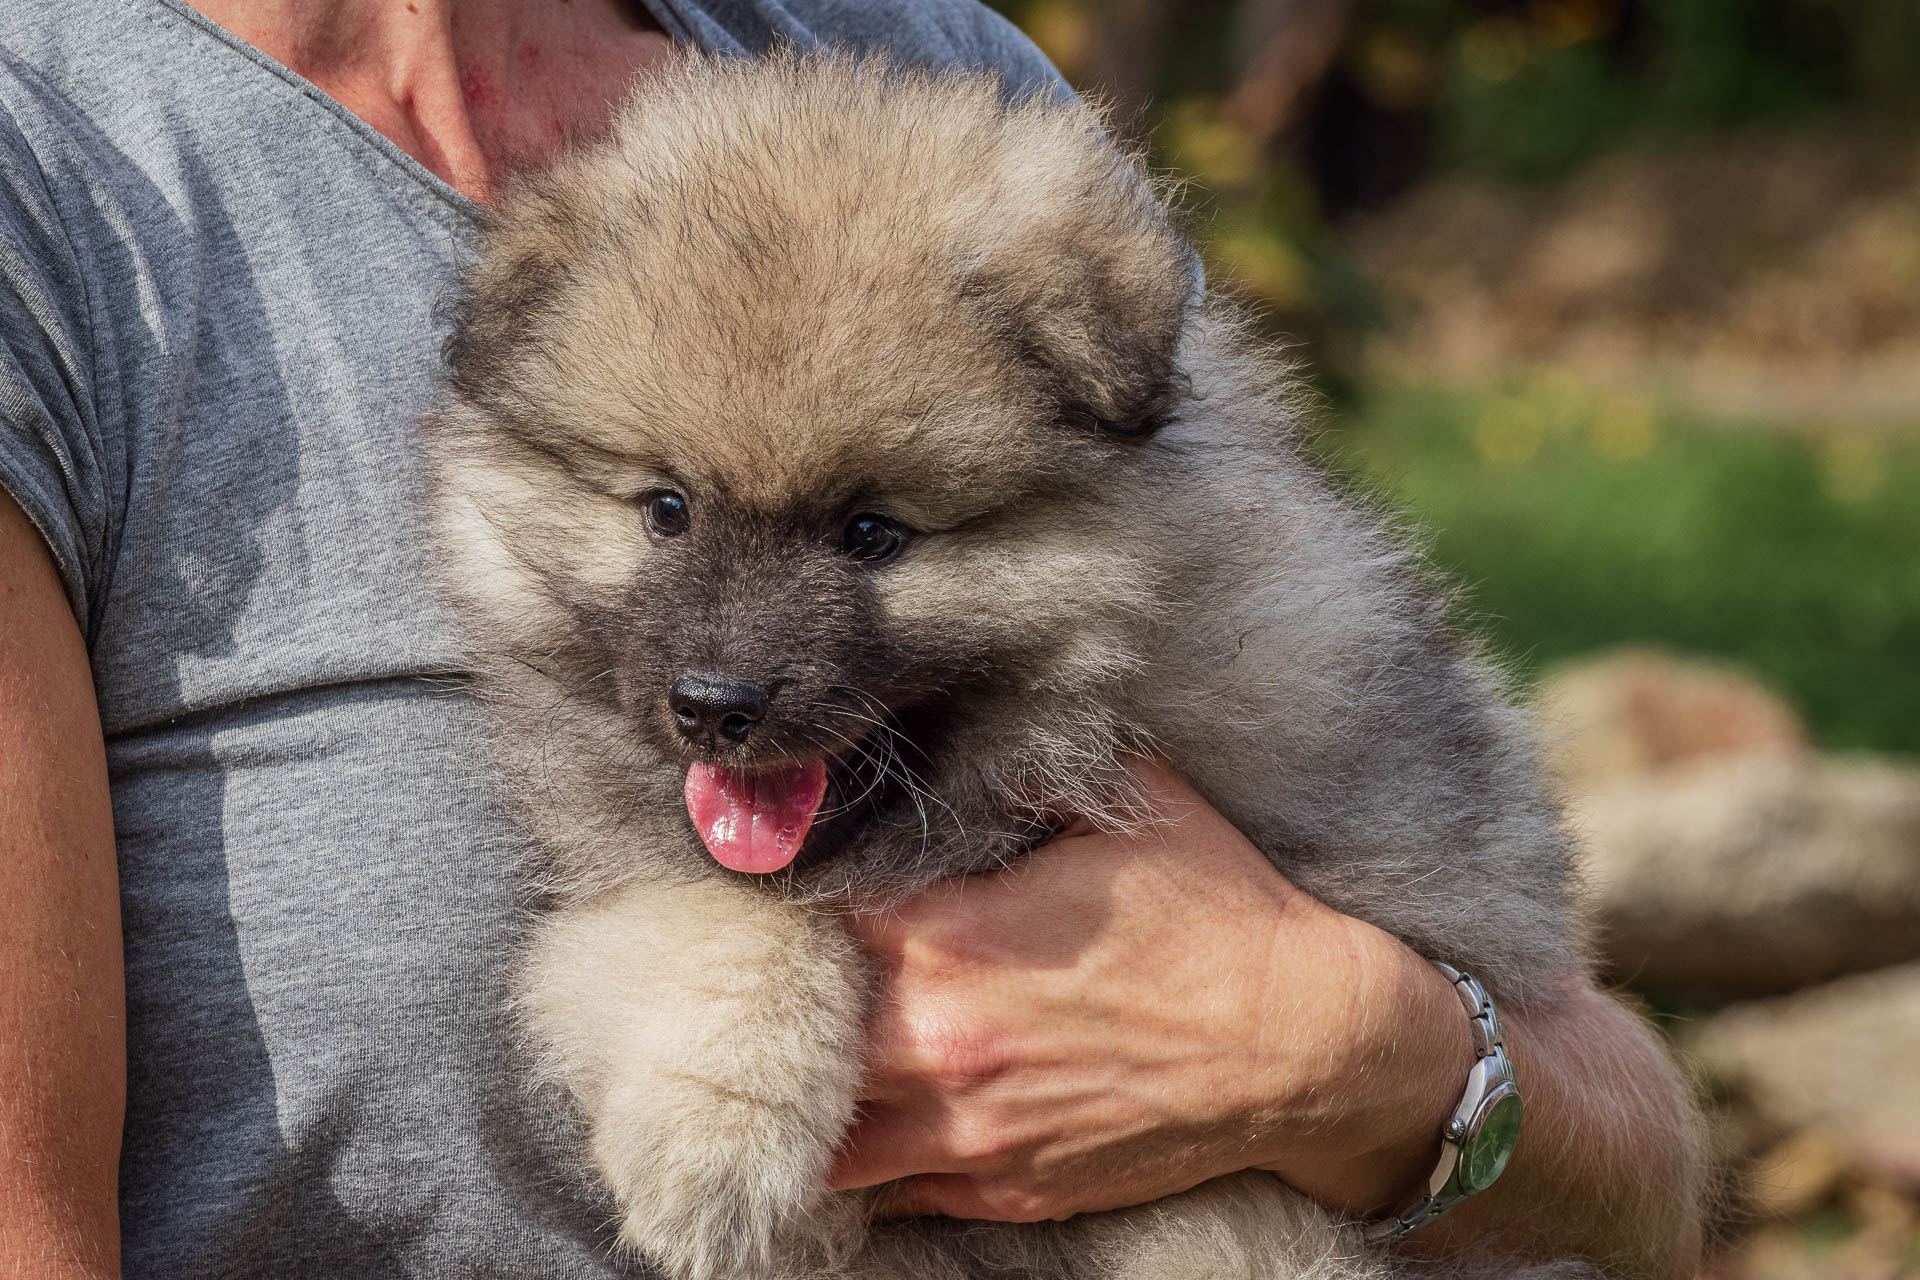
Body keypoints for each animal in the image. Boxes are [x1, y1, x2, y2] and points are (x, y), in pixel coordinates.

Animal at [428, 47, 1582, 1280]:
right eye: (667, 508)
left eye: (872, 533)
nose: (714, 706)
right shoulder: (619, 888)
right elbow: (716, 925)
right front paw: (719, 1134)